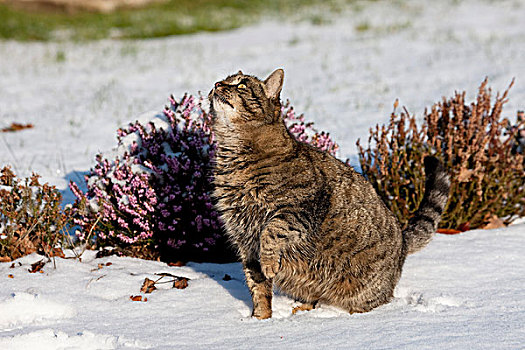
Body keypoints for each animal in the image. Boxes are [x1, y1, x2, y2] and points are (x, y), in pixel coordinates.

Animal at [209, 69, 450, 320]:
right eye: (225, 80)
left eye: (241, 85)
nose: (217, 84)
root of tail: (403, 241)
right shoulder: (244, 241)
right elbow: (258, 287)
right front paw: (260, 320)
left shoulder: (298, 211)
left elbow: (271, 232)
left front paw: (269, 264)